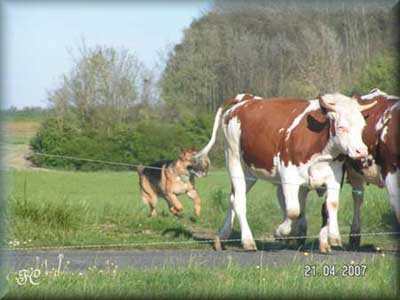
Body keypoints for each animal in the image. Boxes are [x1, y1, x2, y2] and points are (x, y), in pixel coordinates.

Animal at [195, 92, 376, 252]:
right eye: (341, 127)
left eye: (362, 127)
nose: (361, 151)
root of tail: (248, 99)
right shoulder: (289, 176)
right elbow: (293, 210)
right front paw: (281, 232)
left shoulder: (334, 177)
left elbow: (330, 205)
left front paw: (333, 237)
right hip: (234, 160)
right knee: (239, 201)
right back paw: (248, 241)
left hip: (249, 173)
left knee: (233, 199)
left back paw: (222, 237)